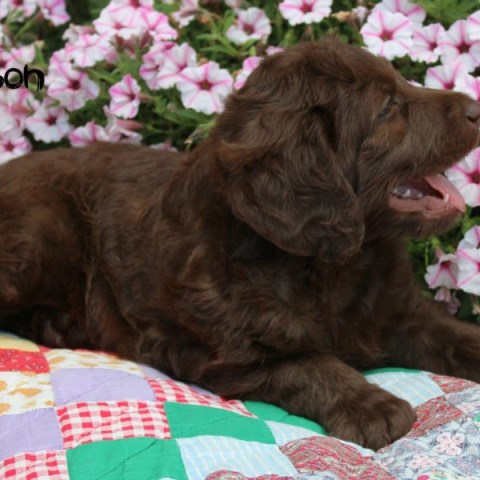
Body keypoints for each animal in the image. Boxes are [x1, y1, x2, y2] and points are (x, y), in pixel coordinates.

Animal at [0, 41, 480, 450]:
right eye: (386, 107)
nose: (476, 108)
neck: (331, 266)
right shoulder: (225, 356)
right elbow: (308, 364)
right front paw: (370, 406)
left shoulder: (407, 315)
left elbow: (458, 334)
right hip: (37, 237)